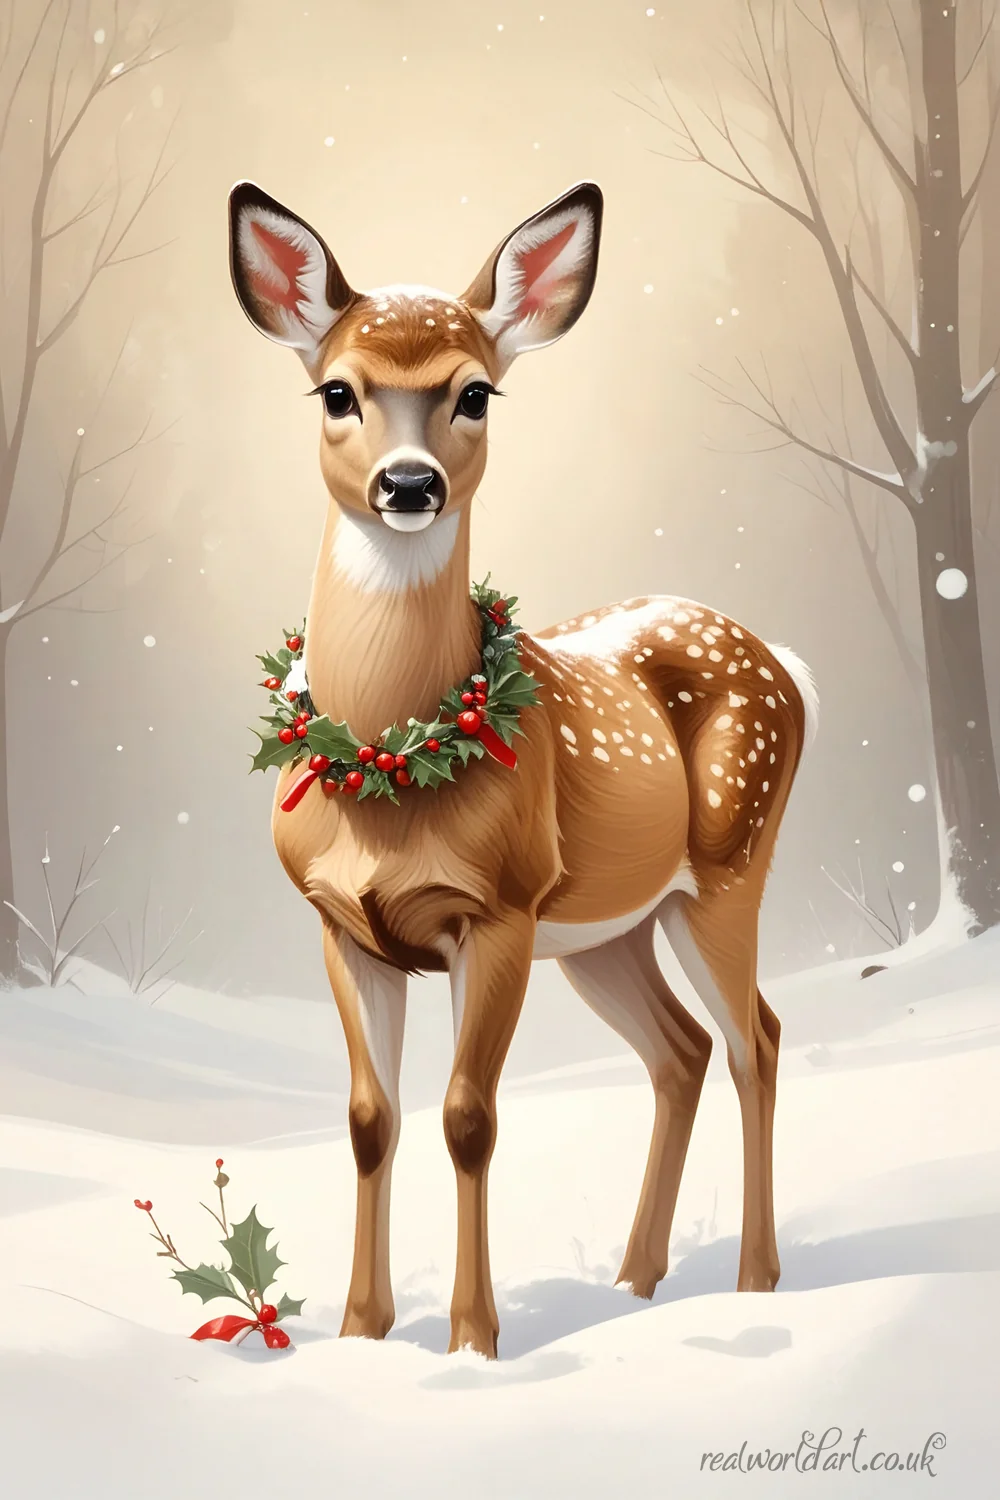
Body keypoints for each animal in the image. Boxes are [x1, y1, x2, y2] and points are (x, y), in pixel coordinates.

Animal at [228, 178, 818, 1360]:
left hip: (727, 868)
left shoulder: (495, 908)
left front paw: (472, 1342)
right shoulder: (338, 923)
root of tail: (784, 665)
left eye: (476, 394)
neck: (388, 766)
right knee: (681, 1051)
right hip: (606, 927)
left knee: (758, 1039)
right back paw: (636, 1283)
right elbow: (370, 1120)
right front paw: (362, 1337)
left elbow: (467, 1115)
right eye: (336, 389)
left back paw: (753, 1284)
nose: (409, 484)